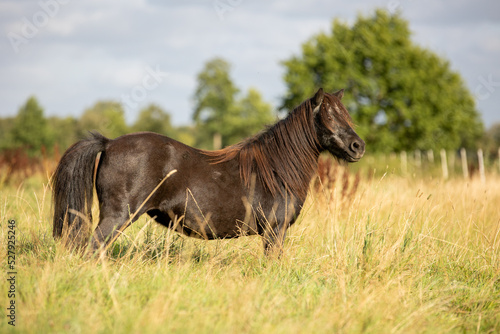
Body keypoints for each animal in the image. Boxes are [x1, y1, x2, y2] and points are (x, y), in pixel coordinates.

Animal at [51, 87, 364, 254]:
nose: (357, 146)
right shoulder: (275, 232)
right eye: (328, 116)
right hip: (117, 217)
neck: (276, 170)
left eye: (345, 114)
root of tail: (109, 142)